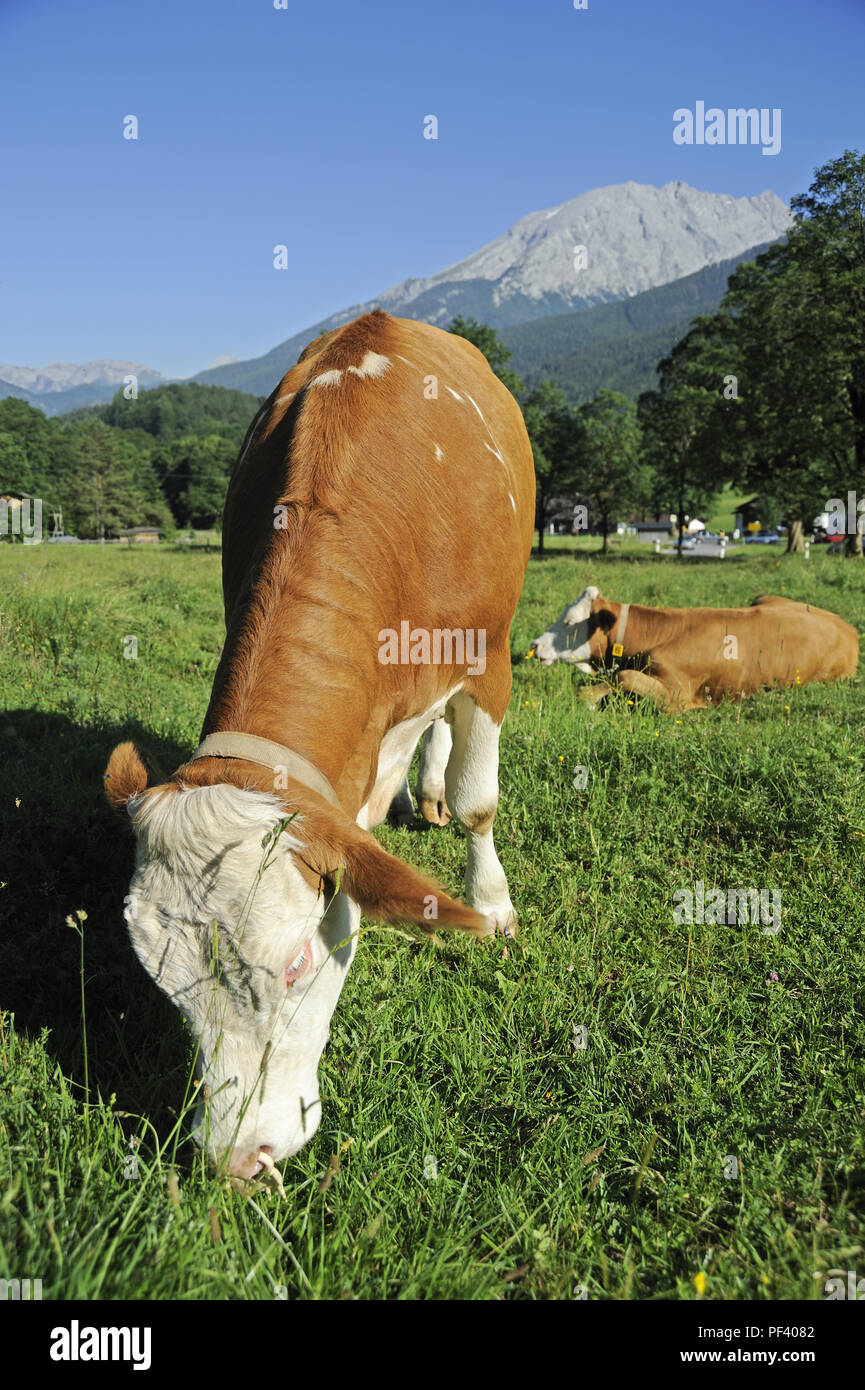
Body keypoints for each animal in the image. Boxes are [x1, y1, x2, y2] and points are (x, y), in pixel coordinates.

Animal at [101, 312, 536, 1173]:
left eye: (299, 961)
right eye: (161, 981)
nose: (239, 1162)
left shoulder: (489, 656)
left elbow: (480, 802)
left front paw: (491, 904)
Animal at [528, 589, 862, 717]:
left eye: (570, 621)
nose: (534, 645)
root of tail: (848, 627)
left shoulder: (677, 695)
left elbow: (622, 677)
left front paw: (590, 699)